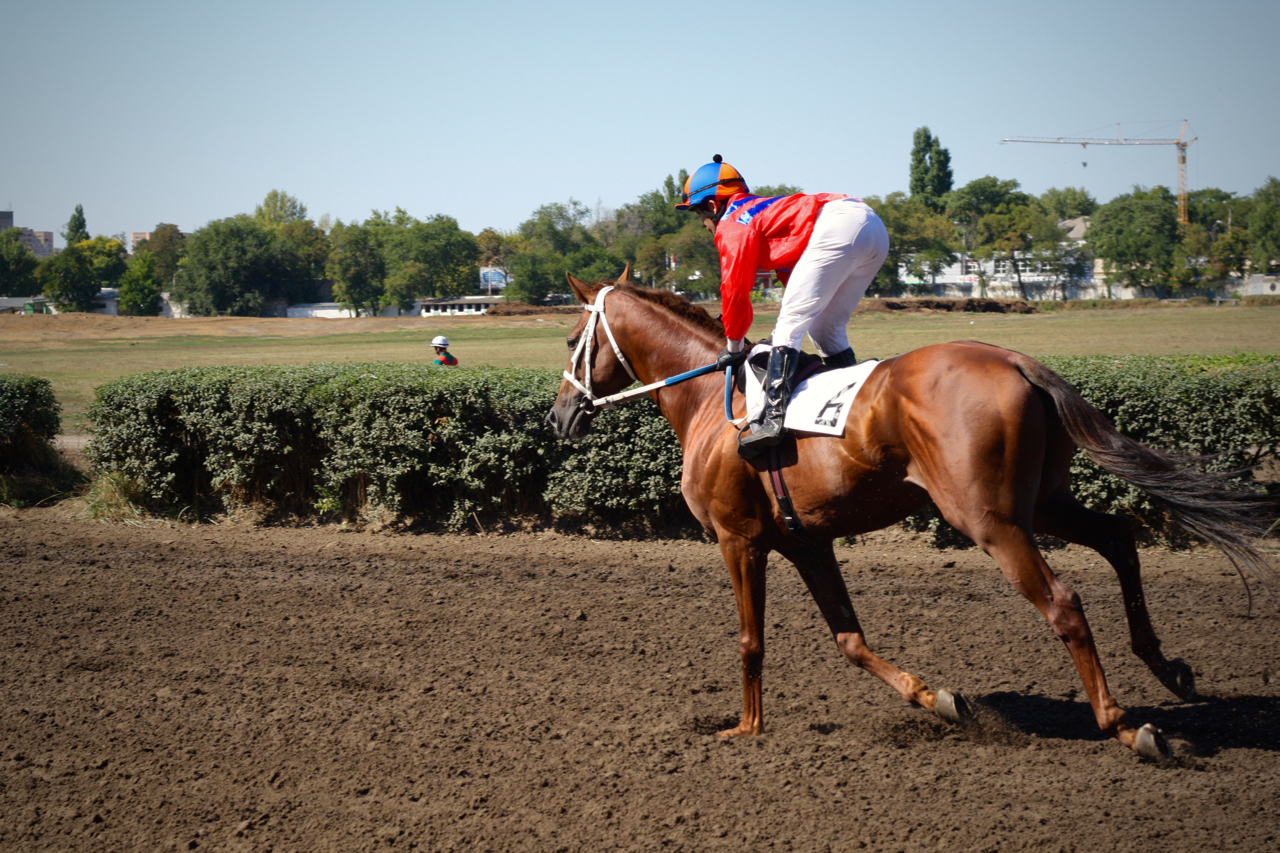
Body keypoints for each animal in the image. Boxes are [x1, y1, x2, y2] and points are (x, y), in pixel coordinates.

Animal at [545, 267, 1274, 758]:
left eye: (573, 337)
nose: (558, 415)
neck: (708, 400)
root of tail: (1016, 358)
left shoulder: (738, 537)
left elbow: (751, 640)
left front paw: (745, 727)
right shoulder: (807, 540)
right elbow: (849, 639)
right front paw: (941, 700)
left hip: (989, 518)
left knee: (1065, 601)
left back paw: (1125, 724)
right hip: (1043, 500)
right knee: (1120, 537)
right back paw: (1168, 668)